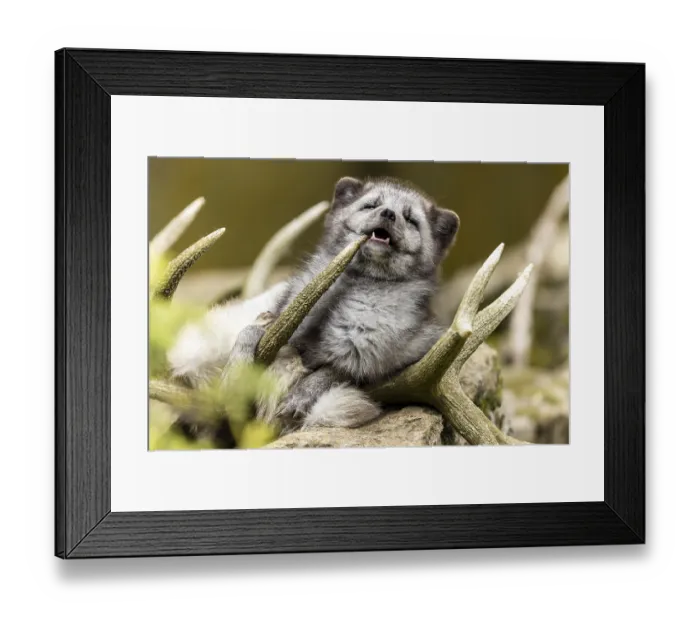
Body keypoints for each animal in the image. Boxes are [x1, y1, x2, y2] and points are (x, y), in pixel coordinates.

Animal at [168, 176, 460, 435]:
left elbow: (335, 371)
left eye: (410, 219)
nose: (388, 213)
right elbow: (250, 332)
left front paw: (301, 395)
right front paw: (237, 369)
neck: (351, 284)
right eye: (371, 206)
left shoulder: (403, 355)